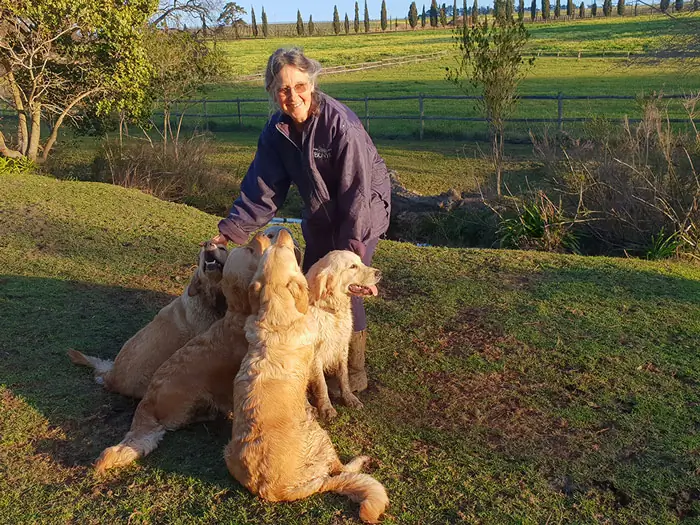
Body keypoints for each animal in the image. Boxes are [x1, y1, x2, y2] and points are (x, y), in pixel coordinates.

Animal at [306, 249, 380, 418]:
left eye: (360, 262)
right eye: (352, 266)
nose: (379, 273)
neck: (331, 310)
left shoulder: (342, 346)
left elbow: (344, 376)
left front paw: (349, 398)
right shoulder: (315, 354)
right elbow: (321, 384)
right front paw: (326, 408)